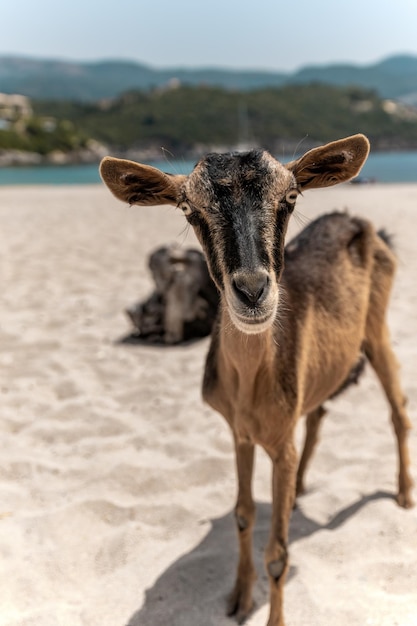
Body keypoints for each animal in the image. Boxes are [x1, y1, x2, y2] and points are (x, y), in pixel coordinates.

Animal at [98, 135, 412, 624]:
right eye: (188, 208)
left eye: (291, 196)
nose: (251, 291)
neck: (250, 384)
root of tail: (359, 221)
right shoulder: (239, 433)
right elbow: (243, 515)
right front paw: (238, 598)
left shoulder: (280, 445)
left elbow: (279, 555)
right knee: (318, 413)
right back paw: (300, 491)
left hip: (376, 328)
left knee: (397, 408)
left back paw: (402, 495)